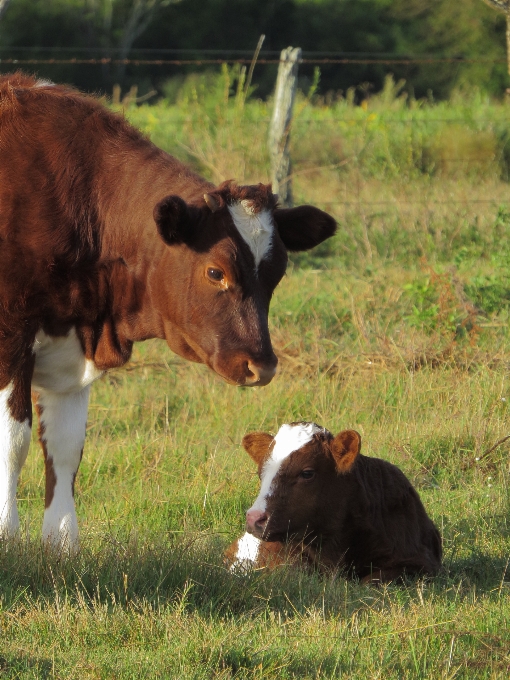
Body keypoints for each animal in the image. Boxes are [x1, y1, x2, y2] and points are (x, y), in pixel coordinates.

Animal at [0, 74, 336, 552]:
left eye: (277, 272)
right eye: (215, 271)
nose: (262, 365)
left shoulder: (73, 344)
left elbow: (65, 446)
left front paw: (62, 546)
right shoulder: (12, 333)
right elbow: (14, 440)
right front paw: (7, 537)